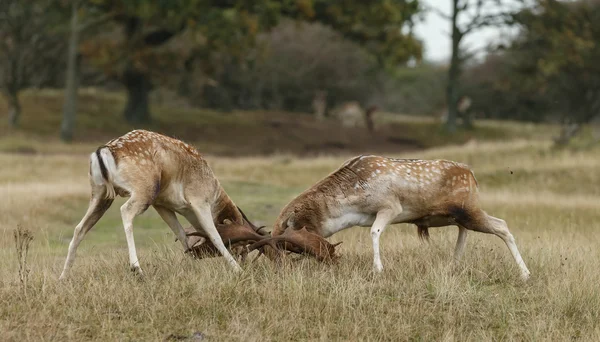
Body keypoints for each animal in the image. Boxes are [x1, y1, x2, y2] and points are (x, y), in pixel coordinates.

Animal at [59, 130, 268, 280]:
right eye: (240, 245)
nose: (245, 261)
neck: (215, 191)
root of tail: (104, 151)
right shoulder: (199, 200)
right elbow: (214, 235)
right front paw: (238, 271)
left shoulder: (162, 205)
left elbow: (182, 235)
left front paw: (192, 265)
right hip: (144, 189)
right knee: (125, 211)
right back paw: (137, 269)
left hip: (100, 194)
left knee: (80, 227)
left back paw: (64, 277)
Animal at [251, 155, 532, 280]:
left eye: (286, 245)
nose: (278, 272)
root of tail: (472, 175)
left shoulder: (390, 207)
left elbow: (374, 231)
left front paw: (378, 268)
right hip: (458, 215)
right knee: (464, 233)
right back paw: (453, 266)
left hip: (470, 210)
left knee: (502, 225)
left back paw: (525, 273)